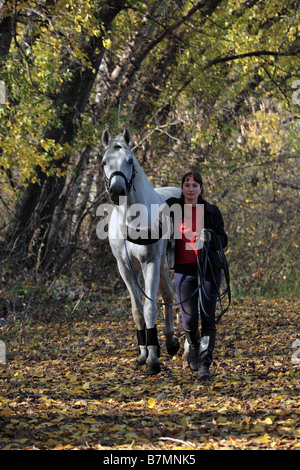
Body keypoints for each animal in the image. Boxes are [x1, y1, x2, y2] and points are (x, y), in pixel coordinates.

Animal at [101, 127, 180, 374]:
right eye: (104, 161)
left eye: (130, 160)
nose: (117, 190)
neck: (131, 220)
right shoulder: (125, 268)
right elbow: (137, 310)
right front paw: (144, 354)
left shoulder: (150, 263)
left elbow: (149, 309)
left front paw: (153, 360)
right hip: (163, 265)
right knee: (168, 293)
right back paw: (170, 342)